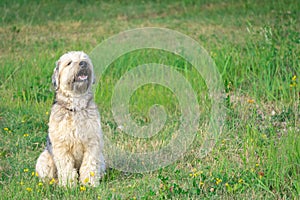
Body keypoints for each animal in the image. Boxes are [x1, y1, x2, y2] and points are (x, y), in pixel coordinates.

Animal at [35, 51, 105, 186]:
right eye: (69, 63)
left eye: (85, 58)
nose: (83, 63)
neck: (76, 107)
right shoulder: (62, 147)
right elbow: (66, 167)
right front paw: (68, 185)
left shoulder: (93, 144)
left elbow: (89, 165)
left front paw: (89, 184)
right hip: (44, 159)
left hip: (102, 158)